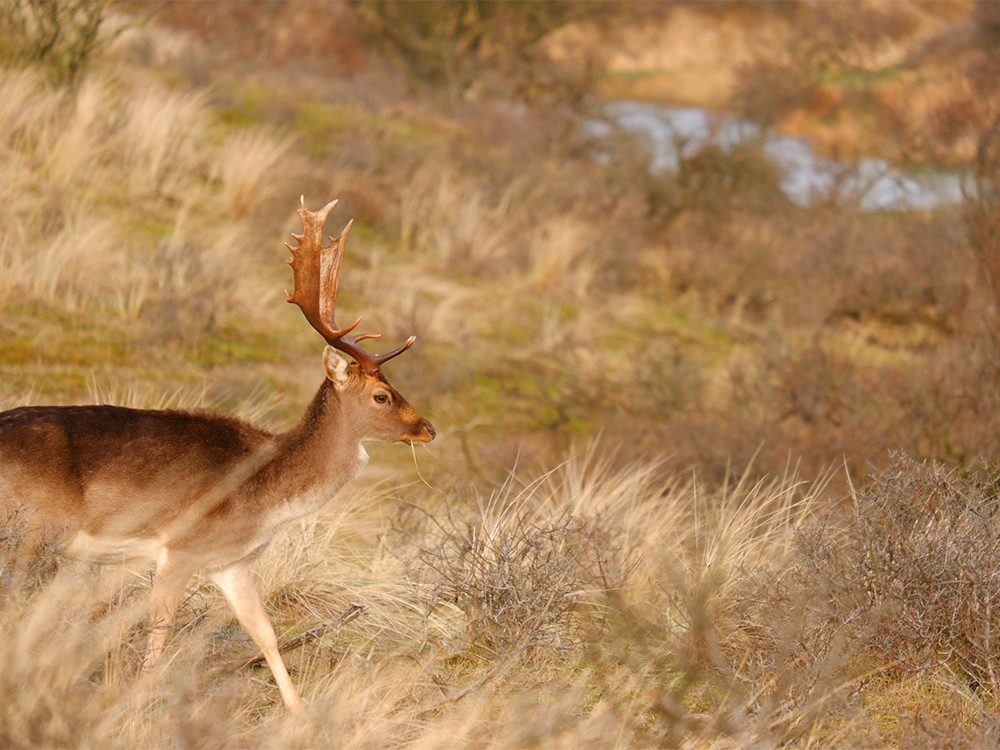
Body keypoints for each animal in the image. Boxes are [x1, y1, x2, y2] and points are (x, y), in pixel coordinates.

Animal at [0, 197, 434, 712]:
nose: (428, 429)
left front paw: (298, 712)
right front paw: (136, 704)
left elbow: (264, 632)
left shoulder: (232, 563)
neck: (269, 496)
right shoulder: (180, 546)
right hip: (32, 529)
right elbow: (159, 632)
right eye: (382, 396)